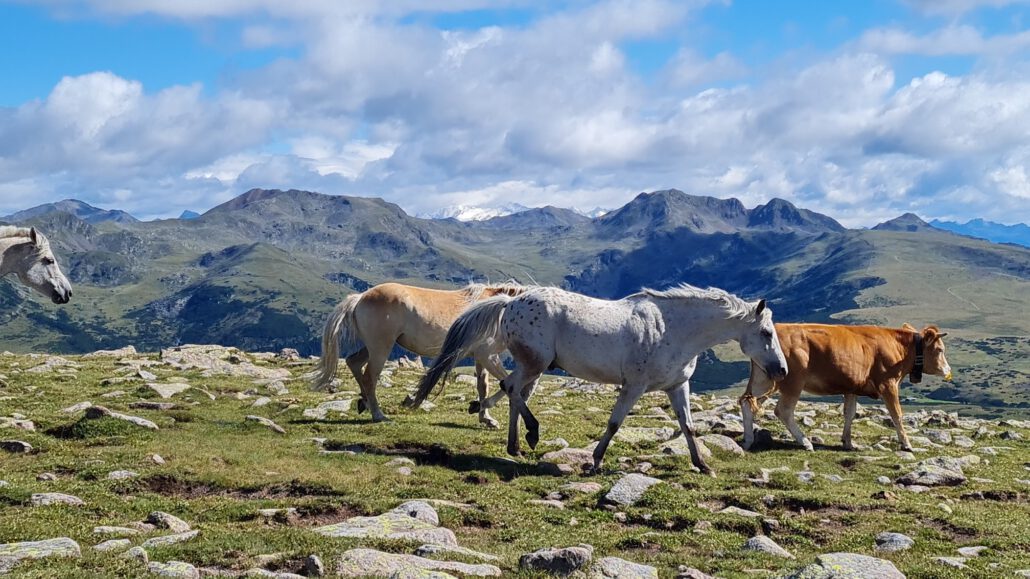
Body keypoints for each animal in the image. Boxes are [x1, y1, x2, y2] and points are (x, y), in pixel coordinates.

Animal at [309, 280, 523, 422]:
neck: (500, 309)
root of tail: (360, 297)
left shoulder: (481, 357)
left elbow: (483, 385)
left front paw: (486, 418)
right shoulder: (488, 355)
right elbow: (507, 382)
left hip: (373, 347)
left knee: (353, 362)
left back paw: (365, 403)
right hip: (380, 347)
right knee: (369, 376)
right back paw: (379, 415)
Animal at [405, 282, 782, 473]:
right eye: (765, 333)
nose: (781, 370)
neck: (673, 328)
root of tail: (510, 303)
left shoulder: (678, 386)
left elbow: (688, 426)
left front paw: (702, 465)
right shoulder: (634, 386)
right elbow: (614, 423)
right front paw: (595, 461)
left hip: (533, 365)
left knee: (514, 391)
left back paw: (516, 445)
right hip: (536, 363)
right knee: (511, 388)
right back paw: (530, 433)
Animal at [737, 319, 951, 451]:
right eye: (940, 350)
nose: (948, 370)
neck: (899, 348)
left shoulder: (852, 387)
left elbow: (850, 413)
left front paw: (847, 442)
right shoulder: (888, 383)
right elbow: (896, 414)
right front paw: (906, 444)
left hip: (765, 380)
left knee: (747, 402)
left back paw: (748, 441)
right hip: (792, 382)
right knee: (783, 410)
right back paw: (805, 442)